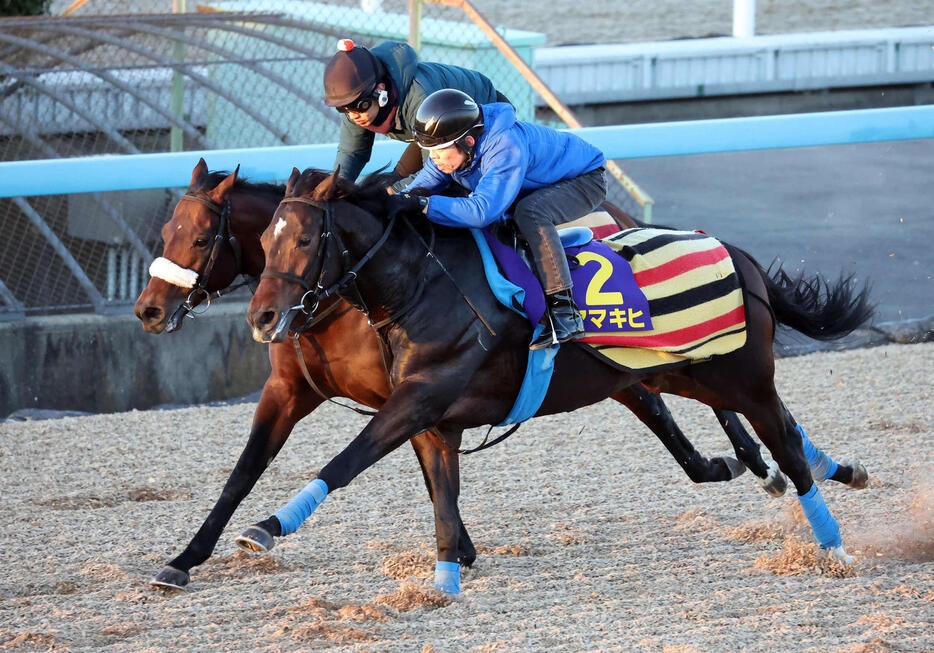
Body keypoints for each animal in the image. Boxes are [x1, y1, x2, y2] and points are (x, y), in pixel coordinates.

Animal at [241, 168, 876, 592]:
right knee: (782, 431)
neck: (422, 283)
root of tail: (741, 256)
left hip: (739, 378)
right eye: (264, 239)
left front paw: (266, 527)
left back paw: (835, 548)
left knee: (784, 444)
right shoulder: (432, 418)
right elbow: (442, 494)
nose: (262, 318)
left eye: (304, 239)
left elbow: (345, 461)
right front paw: (445, 581)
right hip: (682, 374)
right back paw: (842, 472)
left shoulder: (420, 397)